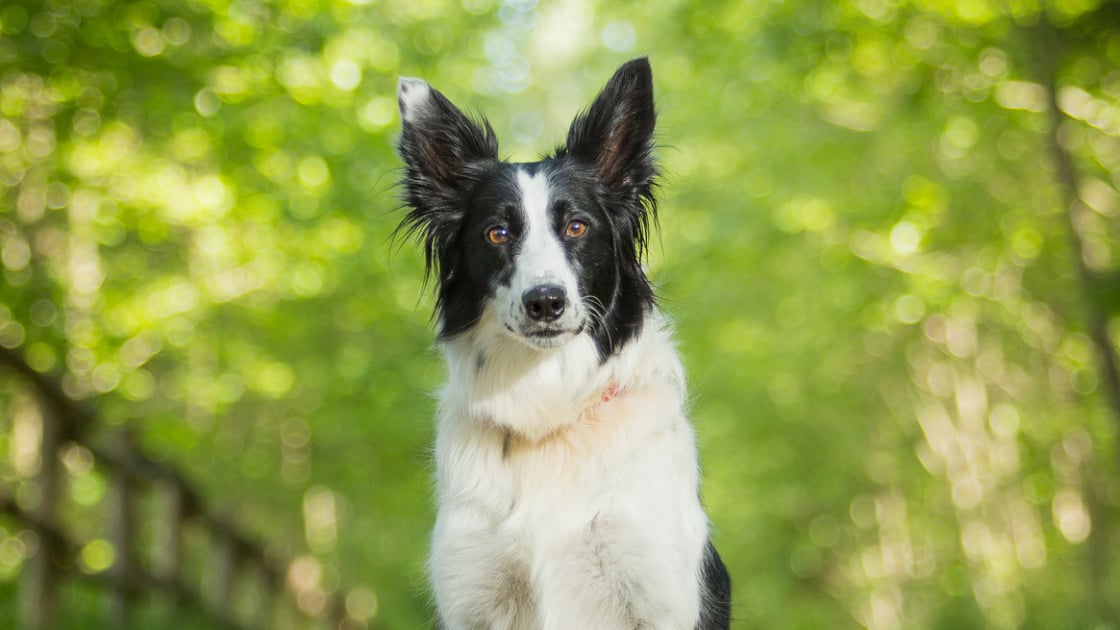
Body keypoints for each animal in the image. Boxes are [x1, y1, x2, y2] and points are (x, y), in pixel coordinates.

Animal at [398, 56, 730, 623]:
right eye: (497, 233)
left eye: (577, 226)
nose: (545, 302)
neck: (550, 417)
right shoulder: (475, 596)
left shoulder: (655, 594)